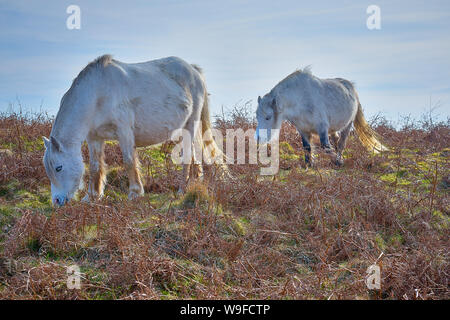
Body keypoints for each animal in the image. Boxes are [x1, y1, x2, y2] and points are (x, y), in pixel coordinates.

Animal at [44, 54, 223, 205]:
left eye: (59, 167)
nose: (57, 201)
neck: (97, 94)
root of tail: (194, 70)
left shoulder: (124, 132)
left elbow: (129, 161)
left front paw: (135, 193)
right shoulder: (94, 138)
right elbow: (95, 166)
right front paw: (92, 196)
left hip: (191, 124)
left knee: (188, 156)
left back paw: (182, 190)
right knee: (194, 155)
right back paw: (194, 184)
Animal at [255, 68, 388, 166]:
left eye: (268, 117)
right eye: (257, 117)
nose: (258, 138)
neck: (300, 99)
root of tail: (351, 87)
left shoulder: (322, 127)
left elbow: (326, 147)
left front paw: (336, 161)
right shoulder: (303, 130)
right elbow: (307, 147)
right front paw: (309, 165)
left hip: (347, 125)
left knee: (341, 143)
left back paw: (339, 160)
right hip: (333, 129)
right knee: (336, 140)